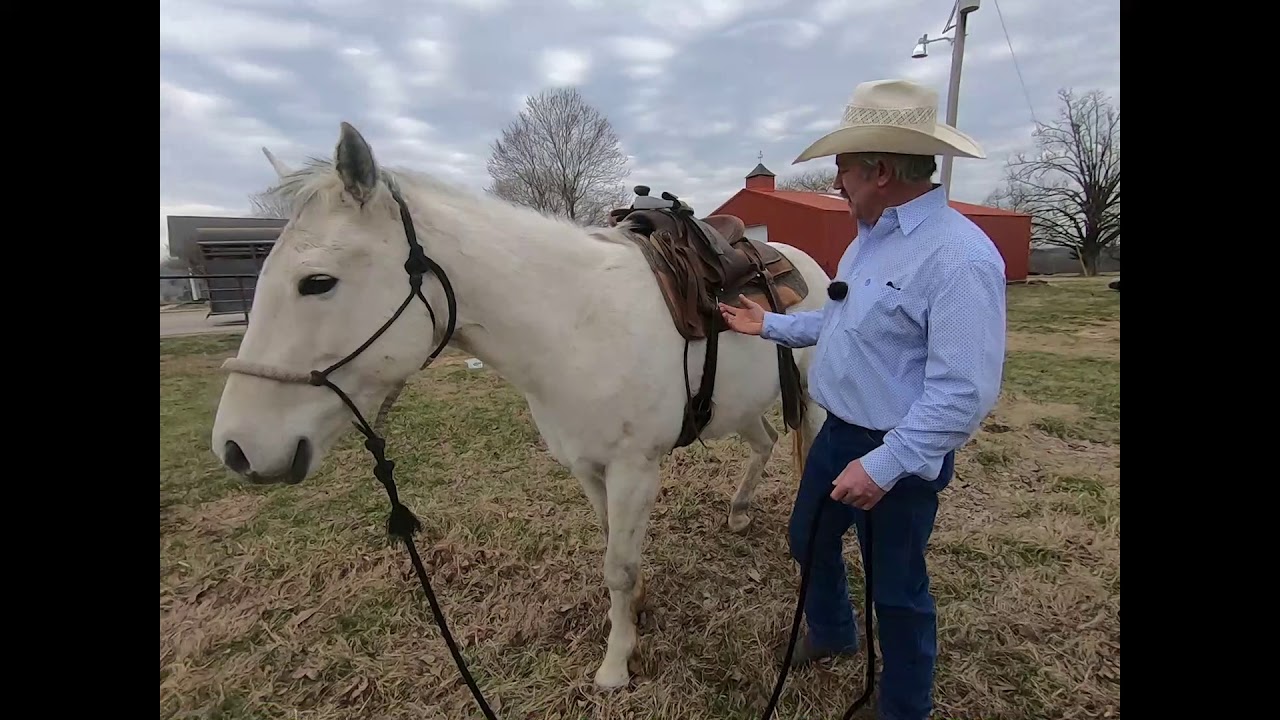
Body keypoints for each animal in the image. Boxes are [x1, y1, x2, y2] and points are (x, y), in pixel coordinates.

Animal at [210, 121, 832, 691]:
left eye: (317, 282)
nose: (236, 448)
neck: (575, 323)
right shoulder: (588, 467)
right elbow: (614, 549)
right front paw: (636, 614)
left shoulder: (634, 469)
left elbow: (618, 566)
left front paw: (615, 665)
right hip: (741, 408)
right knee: (764, 444)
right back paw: (739, 509)